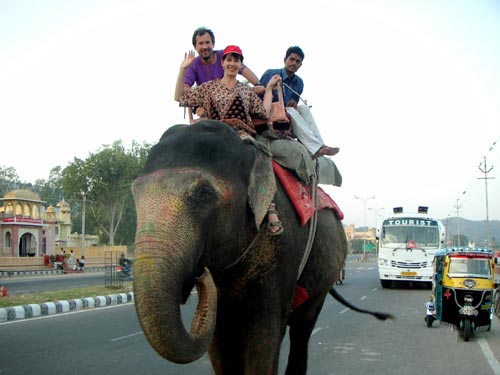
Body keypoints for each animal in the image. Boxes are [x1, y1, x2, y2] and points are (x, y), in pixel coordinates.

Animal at [133, 121, 350, 375]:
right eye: (134, 195)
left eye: (205, 194)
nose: (200, 275)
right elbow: (219, 339)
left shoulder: (282, 248)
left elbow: (263, 337)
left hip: (323, 281)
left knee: (303, 327)